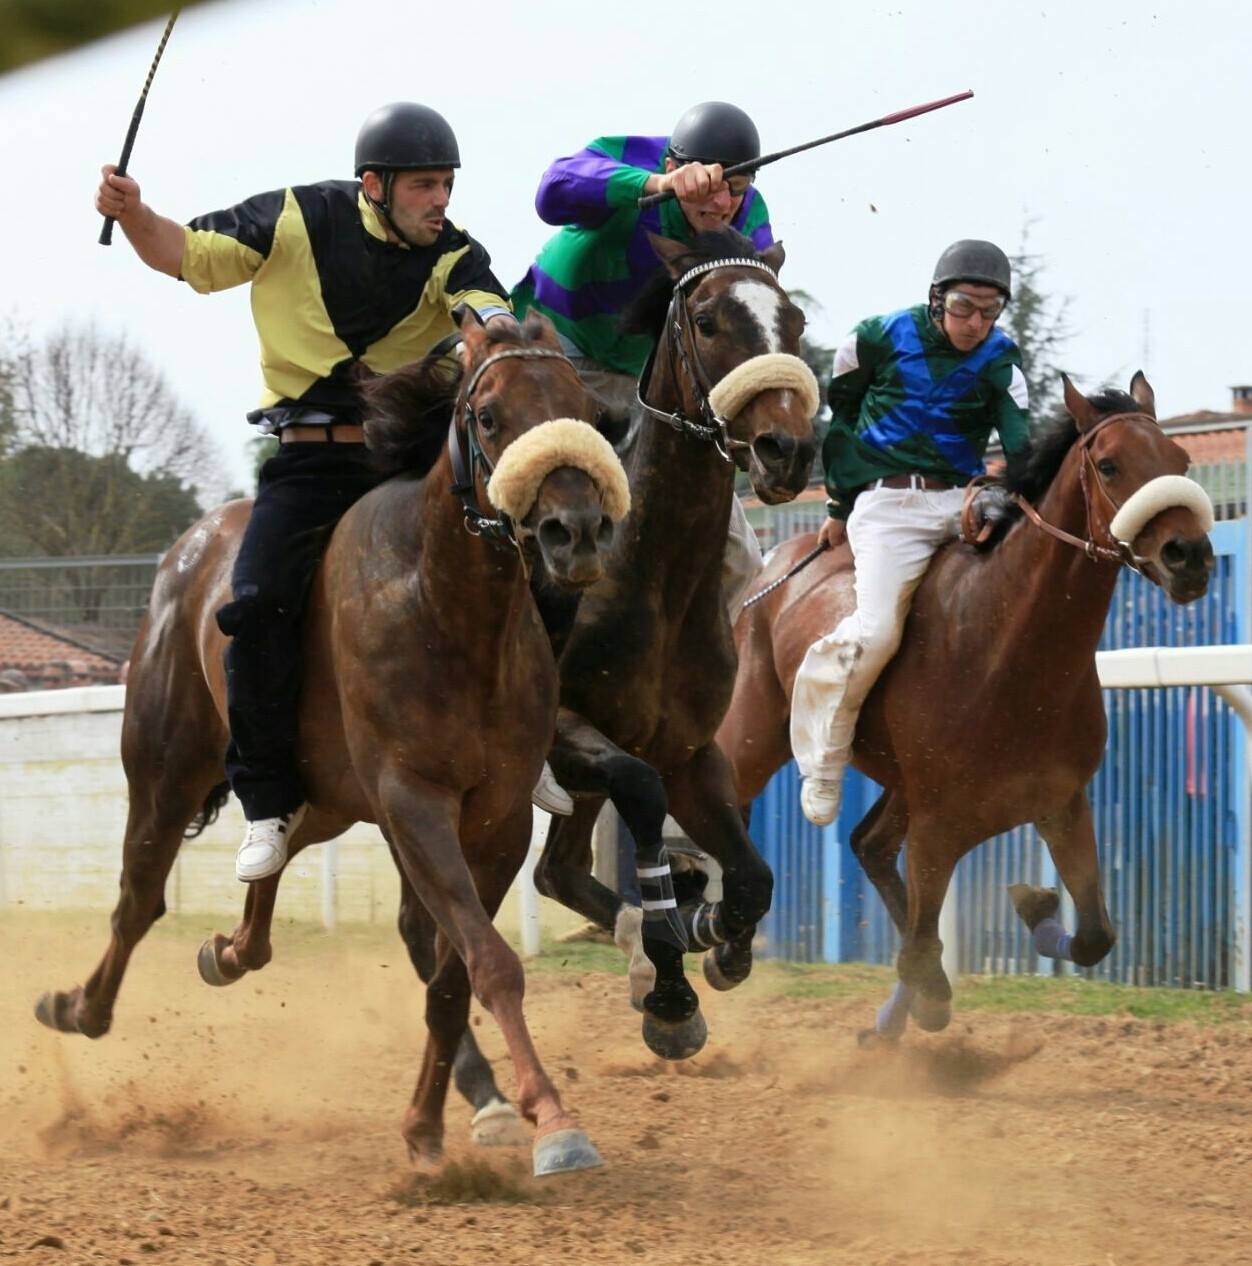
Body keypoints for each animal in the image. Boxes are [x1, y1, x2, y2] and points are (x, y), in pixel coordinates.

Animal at [34, 308, 630, 1174]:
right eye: (489, 417)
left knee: (270, 863)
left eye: (582, 409)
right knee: (139, 896)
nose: (575, 532)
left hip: (326, 797)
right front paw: (553, 1121)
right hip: (165, 767)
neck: (445, 607)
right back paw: (77, 1005)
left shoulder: (497, 813)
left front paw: (426, 1127)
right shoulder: (414, 799)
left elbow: (454, 975)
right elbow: (488, 959)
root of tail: (188, 549)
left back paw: (229, 950)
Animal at [713, 372, 1210, 1038]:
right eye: (1109, 465)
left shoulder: (1059, 801)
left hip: (901, 783)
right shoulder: (938, 824)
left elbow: (1095, 936)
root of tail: (771, 567)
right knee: (735, 806)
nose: (1191, 556)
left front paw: (1033, 906)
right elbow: (922, 945)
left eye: (1180, 461)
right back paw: (724, 952)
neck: (1010, 649)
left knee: (869, 844)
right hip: (756, 731)